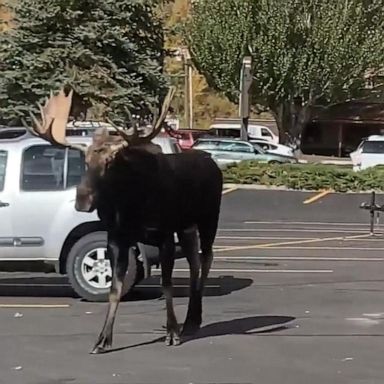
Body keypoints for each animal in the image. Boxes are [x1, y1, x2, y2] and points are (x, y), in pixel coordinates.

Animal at [25, 87, 224, 354]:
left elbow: (167, 284)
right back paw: (191, 320)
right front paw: (102, 340)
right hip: (186, 226)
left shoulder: (163, 235)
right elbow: (114, 288)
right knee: (194, 259)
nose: (82, 200)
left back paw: (192, 319)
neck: (128, 205)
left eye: (109, 162)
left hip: (209, 217)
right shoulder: (117, 238)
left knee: (206, 258)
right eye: (85, 161)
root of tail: (212, 161)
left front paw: (172, 332)